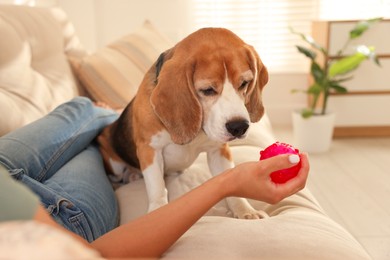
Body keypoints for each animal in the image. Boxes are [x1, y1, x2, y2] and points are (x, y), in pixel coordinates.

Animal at [97, 27, 268, 219]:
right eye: (207, 90)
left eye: (245, 83)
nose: (239, 127)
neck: (199, 130)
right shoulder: (149, 149)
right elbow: (157, 187)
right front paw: (158, 211)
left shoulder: (219, 150)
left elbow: (232, 185)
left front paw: (245, 211)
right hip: (114, 161)